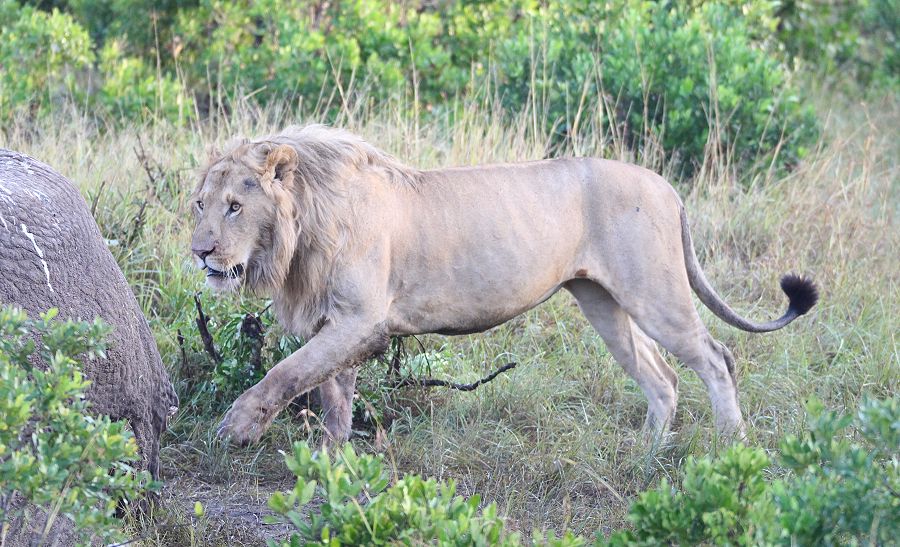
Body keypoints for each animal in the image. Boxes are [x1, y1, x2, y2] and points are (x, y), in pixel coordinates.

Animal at [193, 126, 820, 448]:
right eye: (200, 204)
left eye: (235, 207)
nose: (200, 252)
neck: (300, 232)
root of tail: (667, 186)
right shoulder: (338, 320)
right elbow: (331, 395)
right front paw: (331, 461)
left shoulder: (362, 321)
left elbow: (285, 374)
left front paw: (235, 428)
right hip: (601, 302)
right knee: (661, 377)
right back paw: (645, 457)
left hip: (654, 293)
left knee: (716, 357)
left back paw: (730, 447)